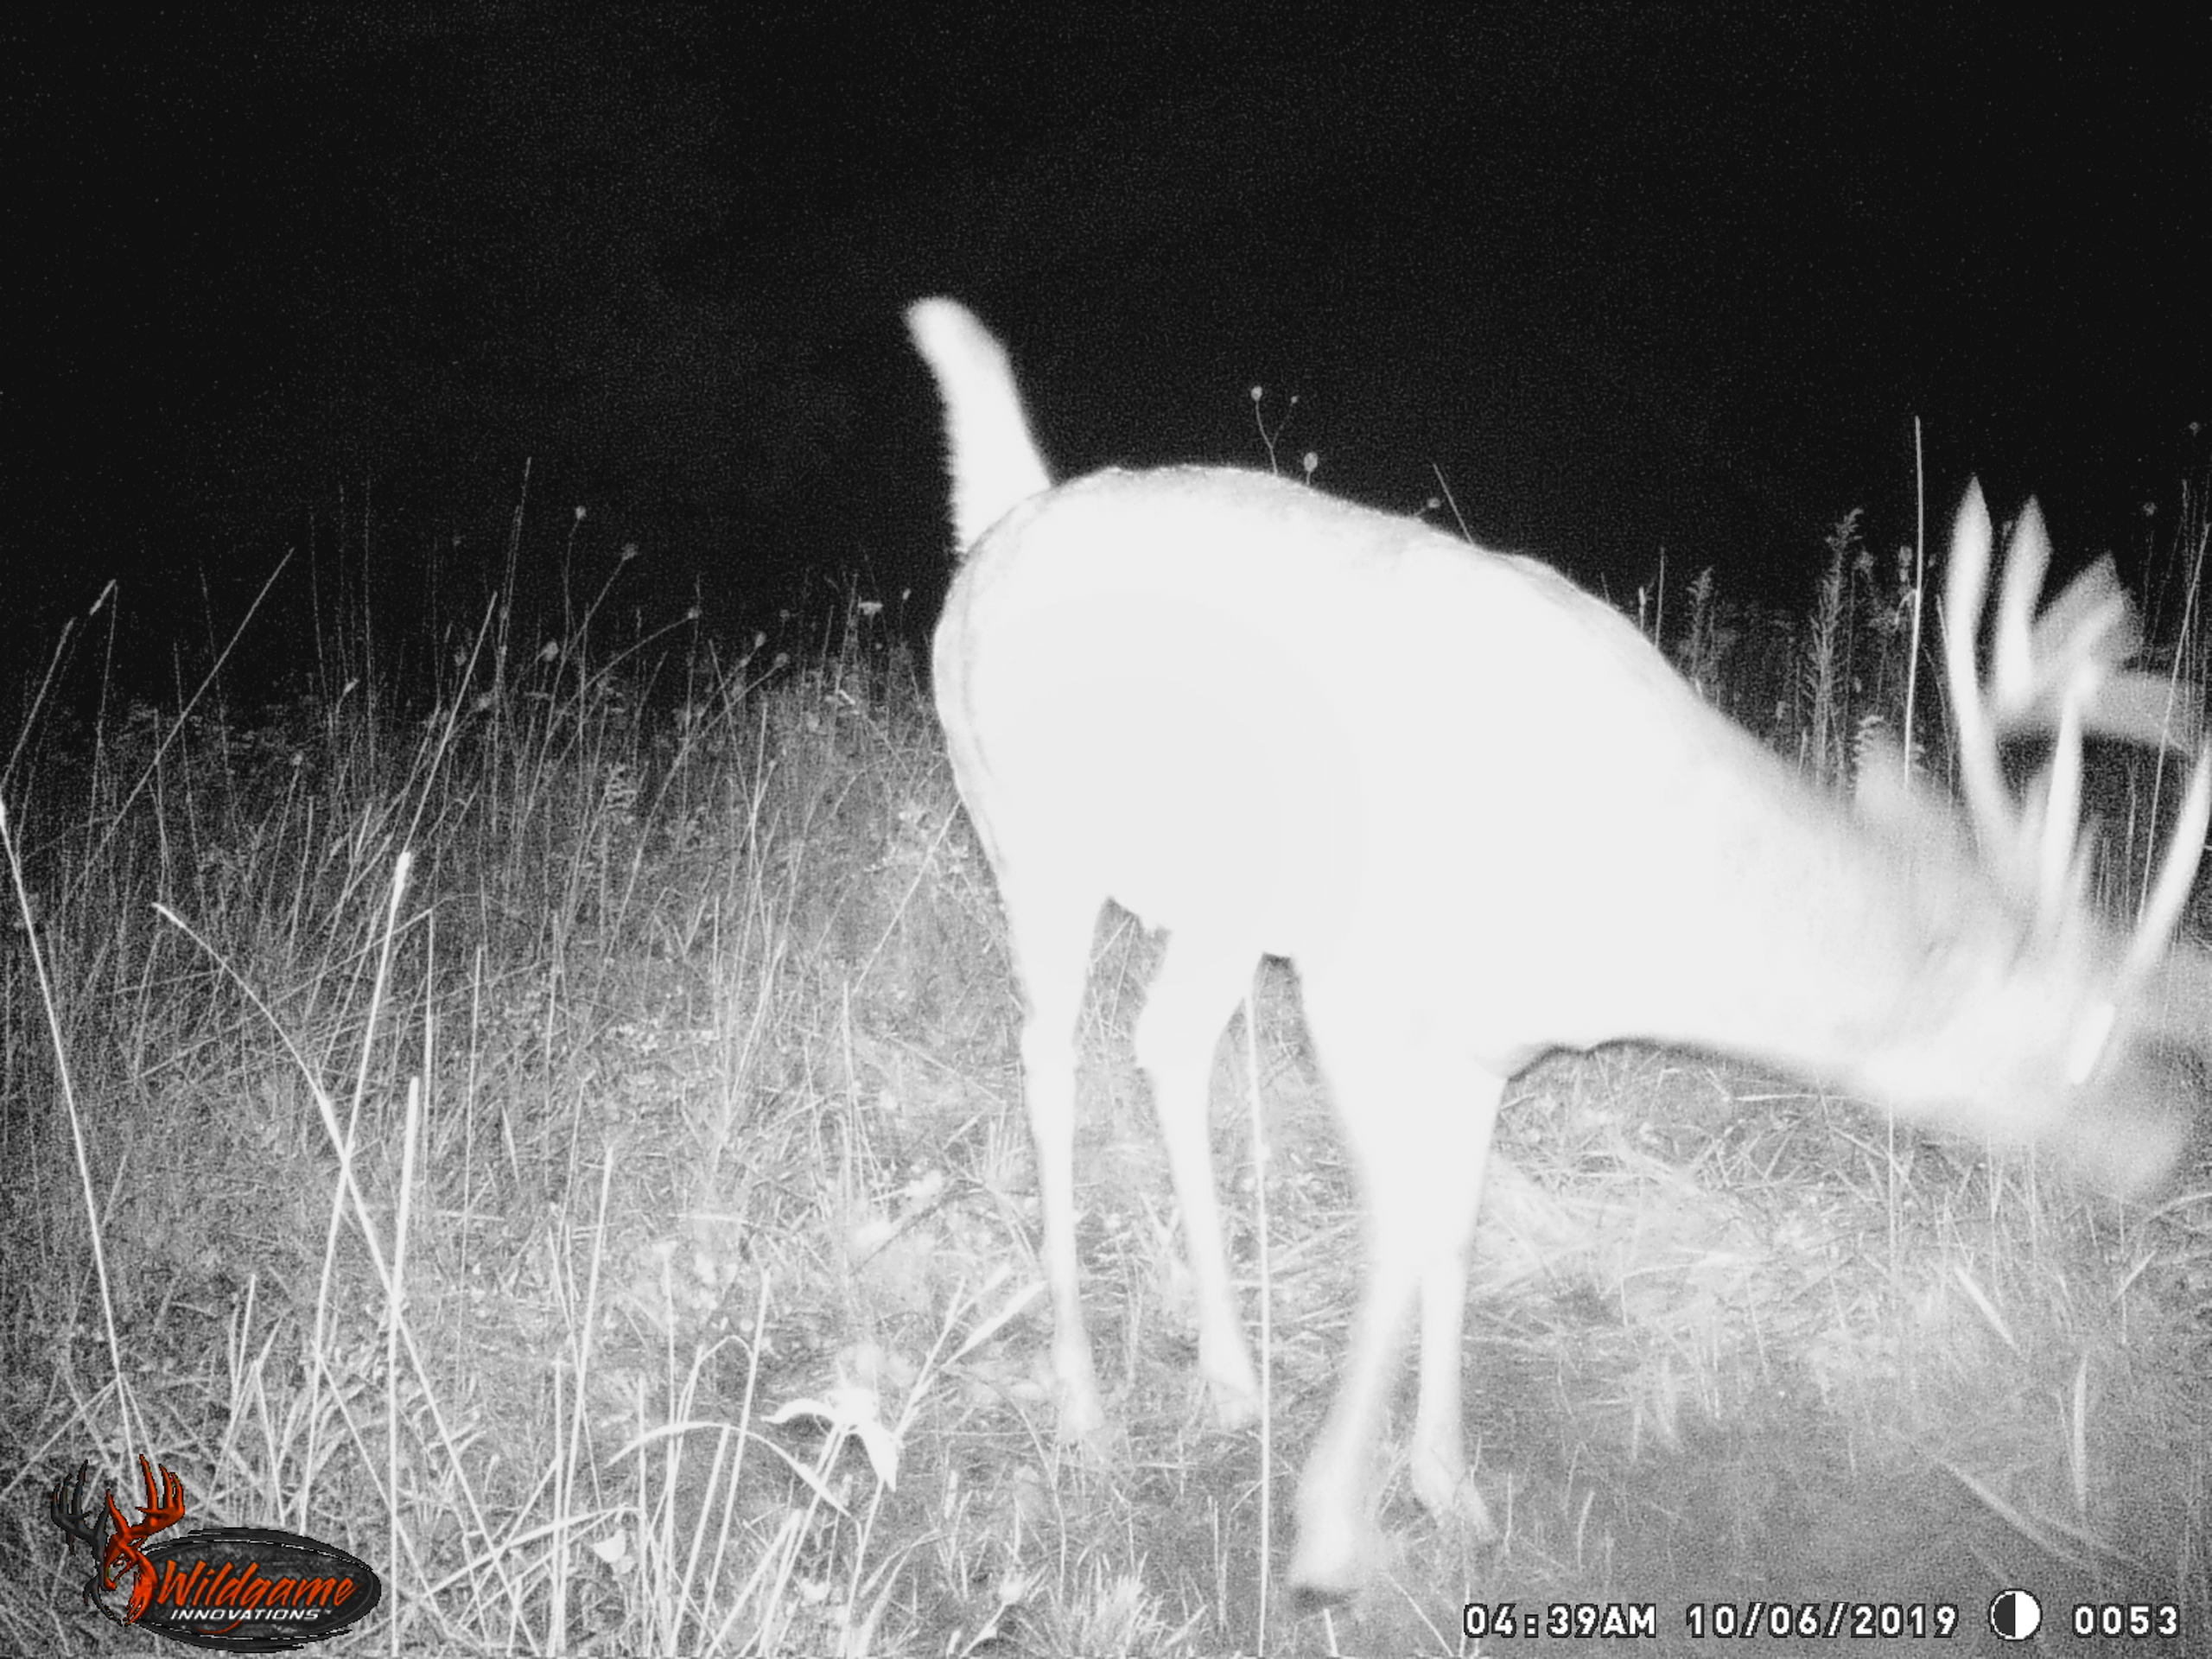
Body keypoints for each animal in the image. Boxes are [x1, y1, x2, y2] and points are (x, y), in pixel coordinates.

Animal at [907, 295, 2212, 1598]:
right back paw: (1085, 1409)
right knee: (1049, 1062)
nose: (2166, 1147)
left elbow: (1452, 1227)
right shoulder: (1359, 984)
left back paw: (1230, 1376)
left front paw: (1450, 1490)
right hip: (1027, 836)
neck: (1620, 912)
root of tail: (1003, 526)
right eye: (2076, 1042)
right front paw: (1334, 1531)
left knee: (1166, 1044)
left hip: (1221, 903)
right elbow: (1397, 1231)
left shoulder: (1491, 1039)